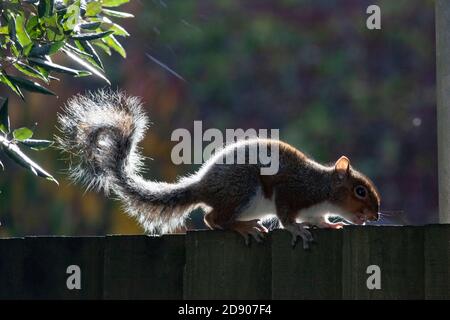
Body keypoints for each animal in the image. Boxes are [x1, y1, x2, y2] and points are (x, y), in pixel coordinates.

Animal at [56, 89, 380, 249]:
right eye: (360, 191)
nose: (375, 216)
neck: (323, 189)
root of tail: (202, 186)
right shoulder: (293, 191)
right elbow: (287, 216)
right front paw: (297, 230)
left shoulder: (314, 208)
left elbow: (319, 219)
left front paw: (329, 224)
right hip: (243, 190)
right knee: (213, 219)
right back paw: (243, 227)